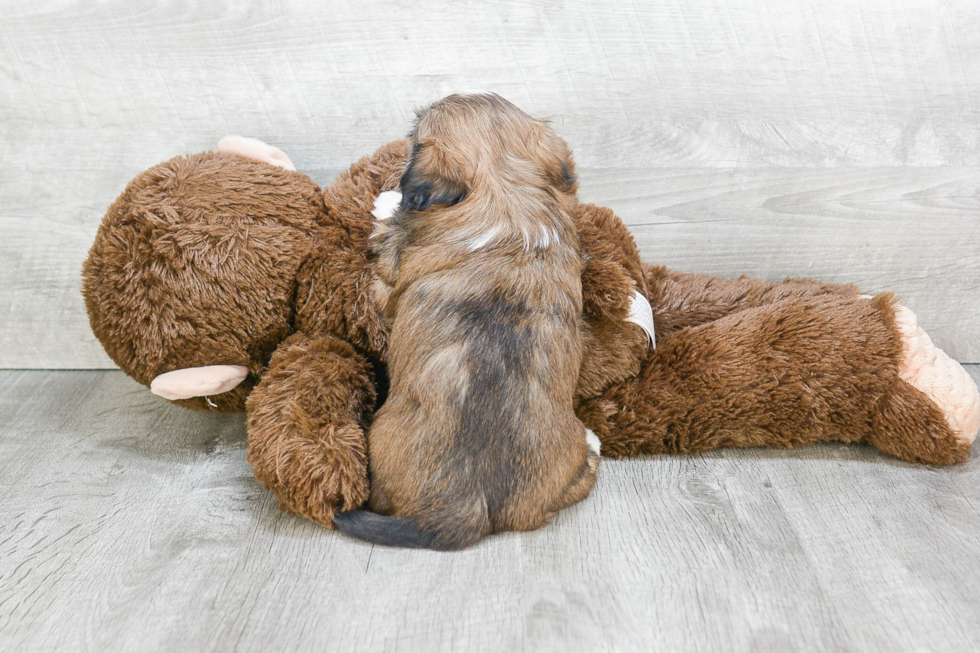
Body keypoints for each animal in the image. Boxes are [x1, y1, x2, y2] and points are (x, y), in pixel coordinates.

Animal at [334, 93, 600, 552]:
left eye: (414, 137)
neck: (509, 195)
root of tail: (467, 507)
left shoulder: (388, 286)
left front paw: (385, 202)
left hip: (379, 443)